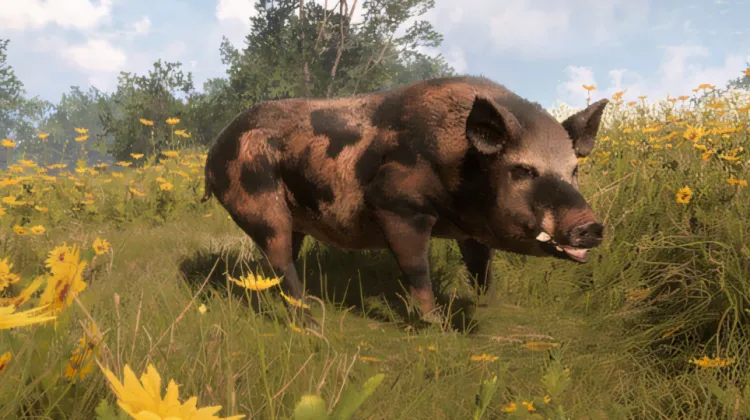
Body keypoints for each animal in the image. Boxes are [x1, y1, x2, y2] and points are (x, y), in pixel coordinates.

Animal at [201, 75, 609, 326]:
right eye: (523, 170)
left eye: (574, 169)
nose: (590, 225)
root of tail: (214, 149)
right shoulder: (397, 206)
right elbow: (416, 268)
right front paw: (437, 325)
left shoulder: (470, 233)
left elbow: (482, 270)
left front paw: (489, 305)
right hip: (259, 203)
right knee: (281, 259)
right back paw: (311, 322)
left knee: (276, 260)